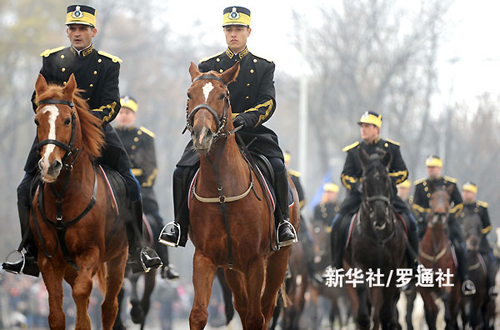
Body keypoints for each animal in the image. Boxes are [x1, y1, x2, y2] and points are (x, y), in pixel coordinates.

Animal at [31, 75, 129, 330]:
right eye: (37, 120)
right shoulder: (49, 259)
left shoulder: (91, 252)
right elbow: (57, 312)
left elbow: (82, 292)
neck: (62, 197)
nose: (49, 165)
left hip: (118, 259)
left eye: (67, 120)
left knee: (109, 306)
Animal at [185, 60, 298, 328]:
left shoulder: (255, 260)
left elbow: (257, 317)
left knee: (265, 308)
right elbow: (199, 314)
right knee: (244, 307)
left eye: (223, 96)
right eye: (190, 94)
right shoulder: (205, 257)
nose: (201, 135)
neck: (222, 191)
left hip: (278, 260)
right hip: (231, 267)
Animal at [346, 148, 408, 328]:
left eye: (387, 180)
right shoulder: (359, 264)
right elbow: (362, 294)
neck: (378, 235)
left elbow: (385, 311)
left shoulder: (392, 269)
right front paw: (363, 318)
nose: (380, 216)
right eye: (366, 182)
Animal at [418, 186, 460, 330]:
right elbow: (431, 310)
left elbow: (445, 297)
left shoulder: (447, 275)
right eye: (432, 197)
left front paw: (447, 320)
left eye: (448, 198)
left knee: (453, 309)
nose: (439, 214)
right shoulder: (423, 286)